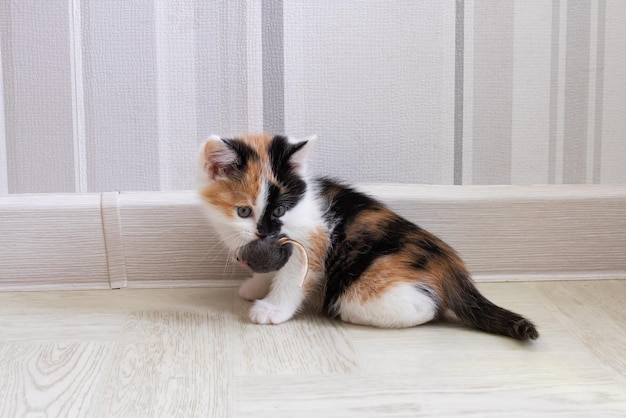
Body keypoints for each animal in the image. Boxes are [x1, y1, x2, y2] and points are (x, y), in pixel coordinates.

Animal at [199, 134, 536, 340]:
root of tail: (449, 261)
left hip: (364, 284)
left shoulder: (313, 238)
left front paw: (273, 309)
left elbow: (294, 276)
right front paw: (256, 286)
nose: (266, 232)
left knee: (422, 307)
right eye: (244, 211)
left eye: (280, 209)